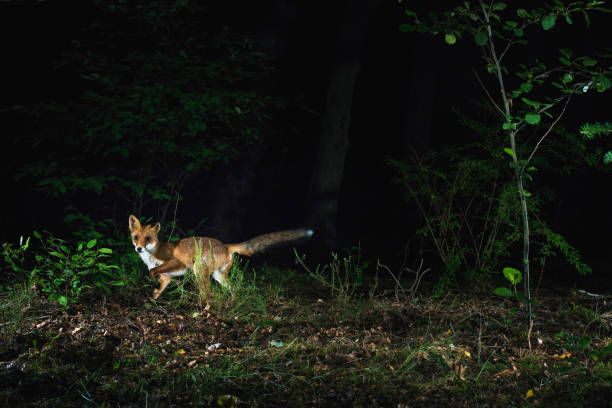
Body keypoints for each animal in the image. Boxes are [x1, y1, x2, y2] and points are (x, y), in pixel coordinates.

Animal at [127, 215, 314, 298]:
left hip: (199, 271)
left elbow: (153, 271)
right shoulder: (166, 278)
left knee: (209, 294)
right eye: (136, 237)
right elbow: (158, 290)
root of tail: (226, 245)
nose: (139, 248)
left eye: (148, 239)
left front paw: (151, 279)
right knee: (235, 289)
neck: (152, 256)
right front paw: (152, 301)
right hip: (219, 275)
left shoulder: (175, 261)